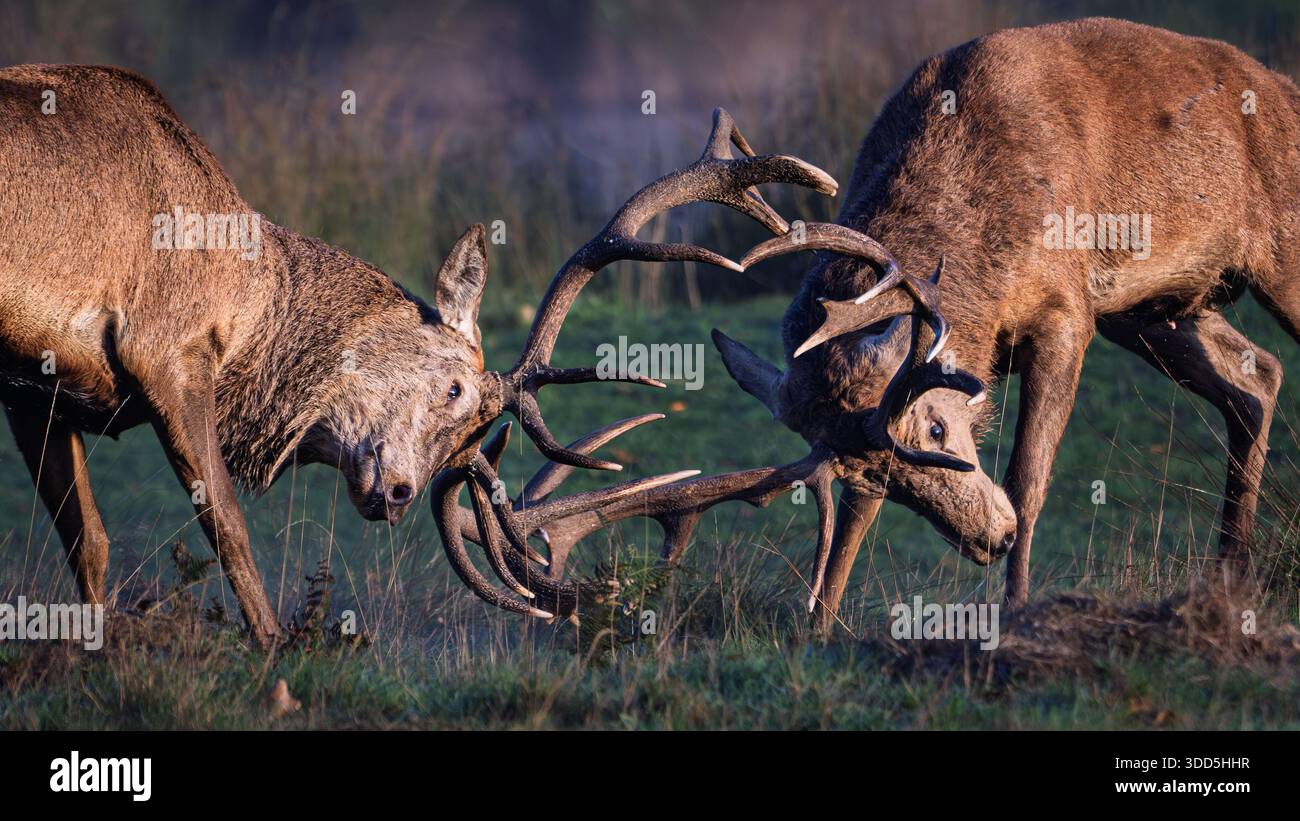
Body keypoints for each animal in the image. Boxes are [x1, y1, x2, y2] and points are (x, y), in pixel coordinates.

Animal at [0, 62, 840, 644]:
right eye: (457, 391)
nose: (401, 494)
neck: (243, 309)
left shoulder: (39, 388)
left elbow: (89, 540)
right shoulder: (166, 349)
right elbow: (226, 523)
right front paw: (273, 650)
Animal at [439, 17, 1300, 631]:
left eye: (942, 430)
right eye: (896, 478)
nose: (989, 537)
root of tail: (1281, 85)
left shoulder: (1067, 310)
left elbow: (1032, 474)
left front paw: (1017, 611)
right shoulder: (1095, 313)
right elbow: (853, 520)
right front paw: (821, 620)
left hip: (1261, 265)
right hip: (1160, 308)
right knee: (1256, 375)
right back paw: (1230, 577)